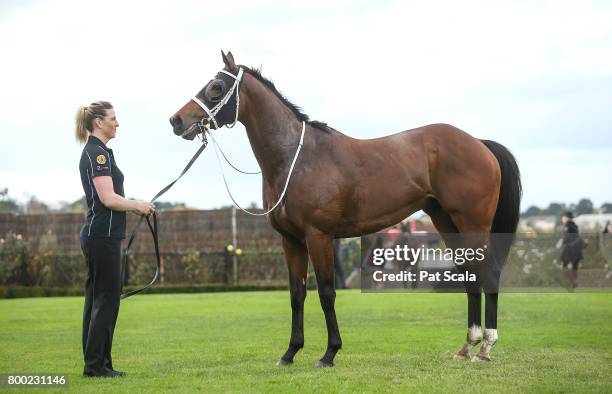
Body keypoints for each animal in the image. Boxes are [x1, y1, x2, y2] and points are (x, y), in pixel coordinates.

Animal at [169, 51, 520, 366]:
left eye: (216, 87)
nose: (177, 120)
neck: (297, 158)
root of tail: (479, 143)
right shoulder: (291, 241)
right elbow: (297, 294)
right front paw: (290, 352)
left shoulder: (319, 237)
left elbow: (326, 293)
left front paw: (329, 353)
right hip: (447, 223)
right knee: (470, 275)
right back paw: (467, 346)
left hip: (473, 225)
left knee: (488, 274)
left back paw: (485, 348)